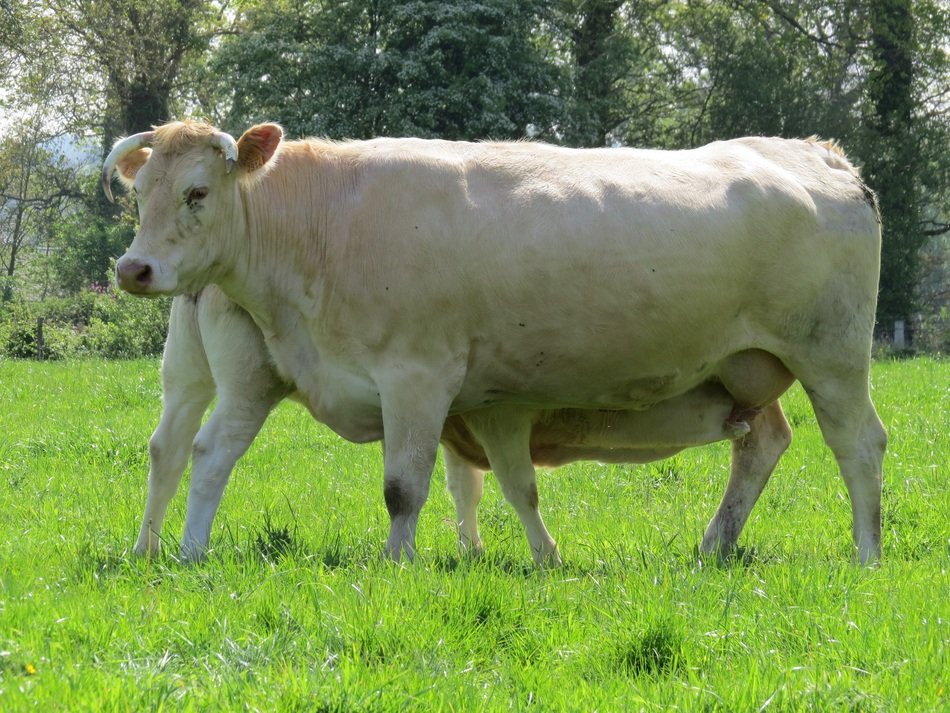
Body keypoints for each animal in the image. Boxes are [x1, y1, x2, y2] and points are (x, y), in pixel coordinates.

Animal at [104, 121, 886, 564]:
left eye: (198, 191)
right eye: (138, 193)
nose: (133, 268)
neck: (323, 223)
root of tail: (817, 154)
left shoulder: (417, 374)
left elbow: (404, 486)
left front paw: (396, 566)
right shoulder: (468, 396)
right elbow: (492, 480)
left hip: (832, 353)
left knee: (858, 444)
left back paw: (868, 553)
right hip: (746, 368)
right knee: (764, 443)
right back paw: (714, 546)